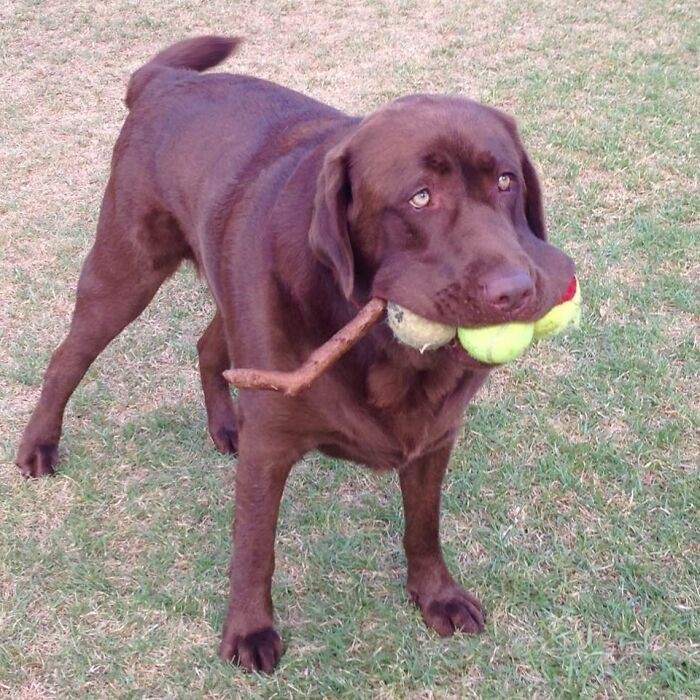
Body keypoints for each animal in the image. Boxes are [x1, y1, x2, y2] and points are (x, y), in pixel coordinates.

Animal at [16, 35, 576, 668]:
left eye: (506, 181)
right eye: (420, 197)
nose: (516, 290)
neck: (386, 350)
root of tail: (165, 80)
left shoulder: (434, 436)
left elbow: (423, 526)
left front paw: (436, 595)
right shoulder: (271, 446)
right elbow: (255, 546)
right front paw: (249, 631)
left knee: (209, 344)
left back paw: (224, 423)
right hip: (125, 272)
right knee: (68, 358)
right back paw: (38, 446)